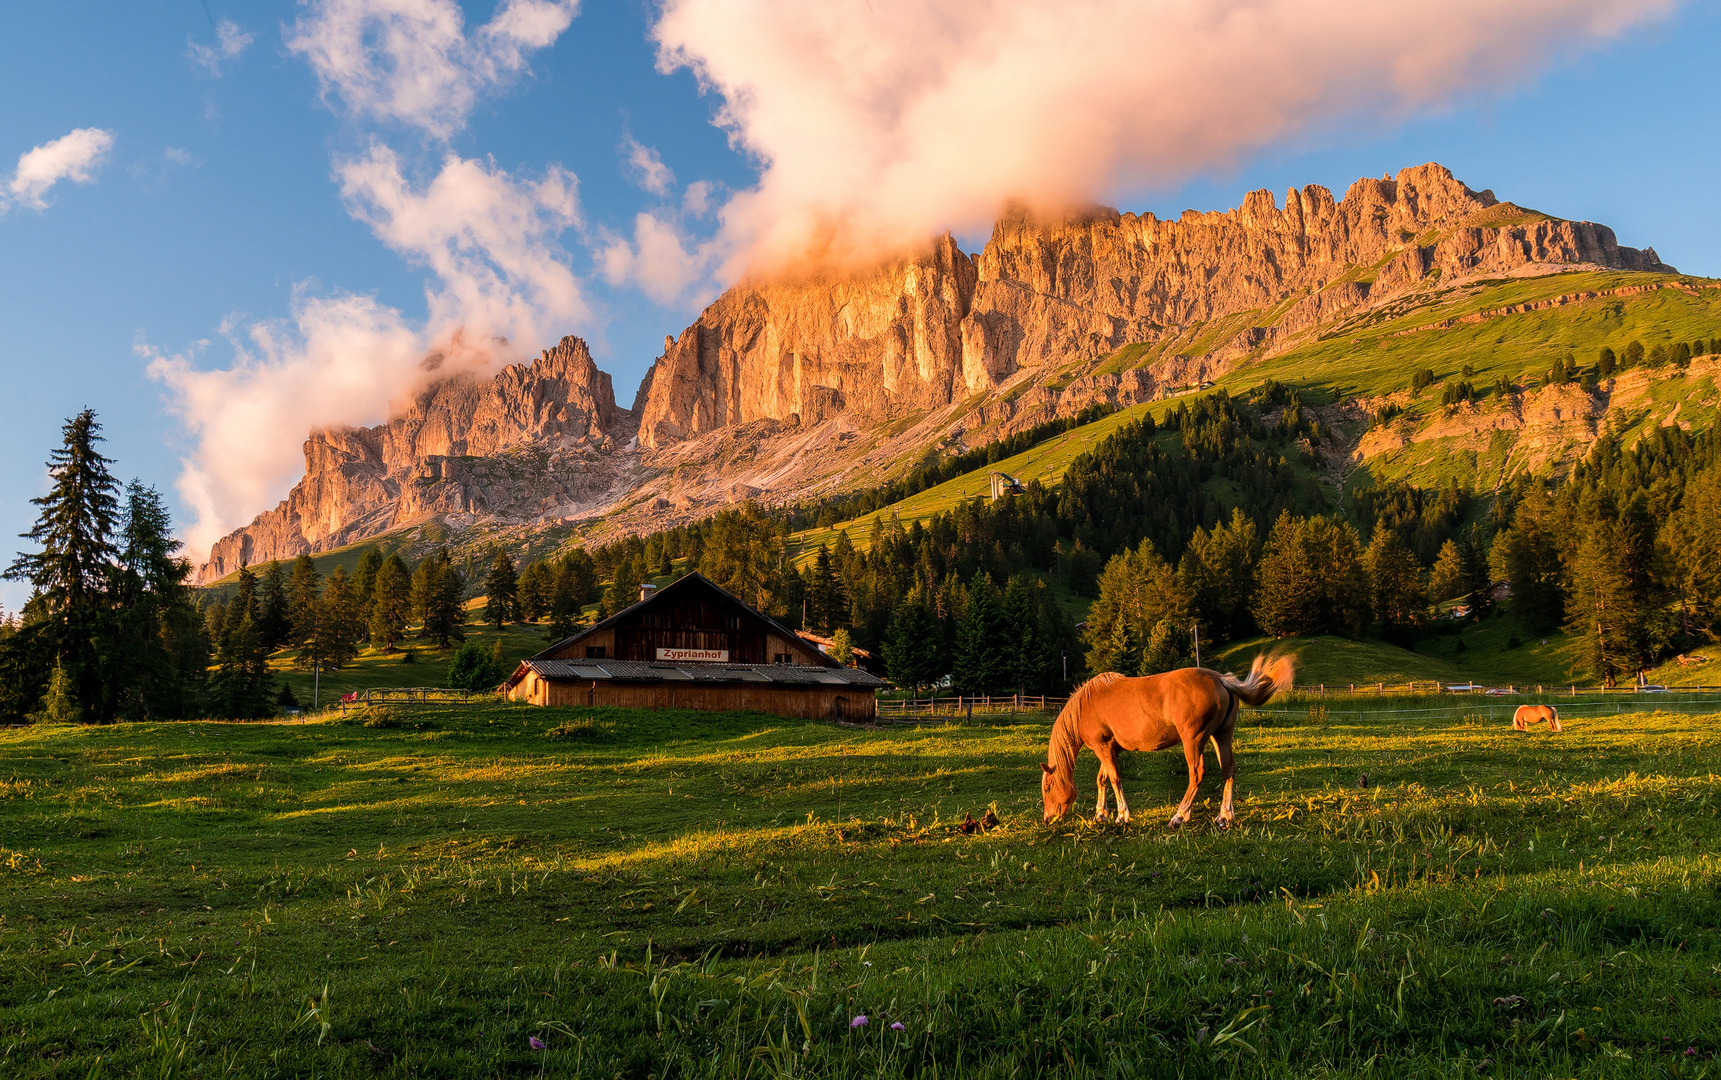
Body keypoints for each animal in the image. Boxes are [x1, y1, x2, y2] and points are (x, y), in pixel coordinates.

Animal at [1032, 650, 1294, 825]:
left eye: (1047, 787)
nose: (1047, 819)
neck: (1085, 706)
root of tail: (1221, 679)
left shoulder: (1102, 747)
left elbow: (1114, 779)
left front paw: (1122, 816)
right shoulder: (1110, 749)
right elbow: (1103, 779)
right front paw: (1101, 814)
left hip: (1193, 741)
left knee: (1197, 774)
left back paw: (1179, 816)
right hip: (1221, 736)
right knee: (1228, 770)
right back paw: (1224, 816)